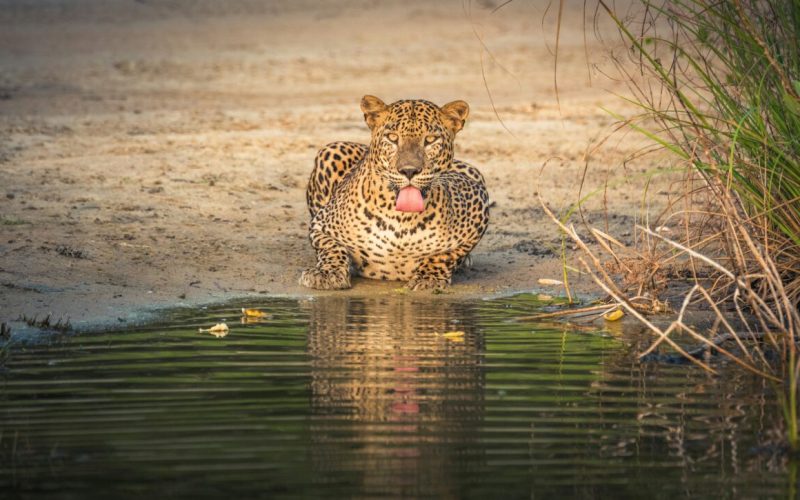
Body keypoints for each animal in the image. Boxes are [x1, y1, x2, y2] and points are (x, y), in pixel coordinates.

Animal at [299, 95, 489, 291]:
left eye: (430, 140)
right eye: (392, 137)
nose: (409, 171)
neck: (401, 220)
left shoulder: (477, 202)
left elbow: (445, 255)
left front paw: (428, 278)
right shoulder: (321, 225)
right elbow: (331, 247)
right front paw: (327, 274)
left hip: (474, 171)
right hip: (331, 150)